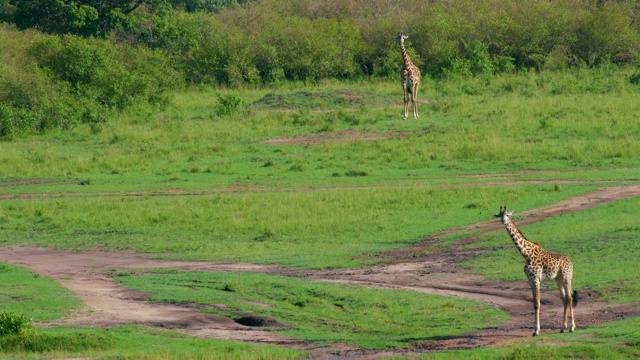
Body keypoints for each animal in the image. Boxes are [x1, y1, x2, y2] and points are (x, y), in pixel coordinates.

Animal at [492, 207, 576, 336]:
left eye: (507, 215)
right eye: (500, 215)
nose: (503, 220)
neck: (526, 254)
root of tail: (571, 263)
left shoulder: (536, 279)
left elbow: (537, 304)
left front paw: (536, 330)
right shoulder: (530, 280)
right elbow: (534, 303)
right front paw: (535, 329)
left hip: (566, 278)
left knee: (570, 297)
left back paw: (572, 327)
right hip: (558, 280)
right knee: (565, 298)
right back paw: (563, 327)